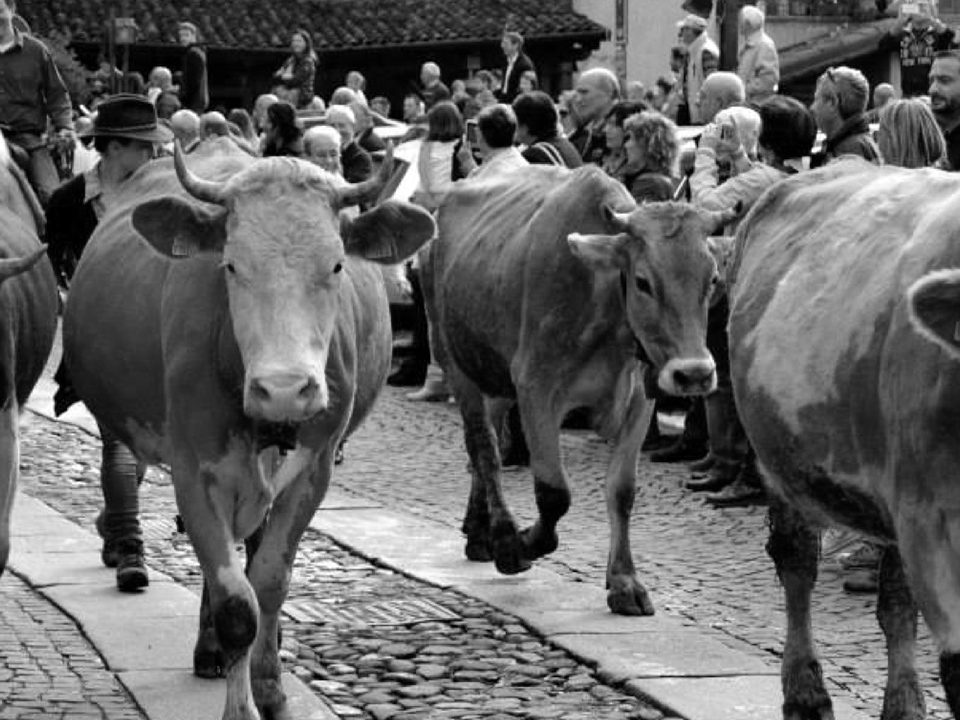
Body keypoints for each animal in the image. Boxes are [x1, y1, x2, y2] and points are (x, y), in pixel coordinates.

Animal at [67, 136, 438, 720]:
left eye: (336, 265)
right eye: (231, 266)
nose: (284, 388)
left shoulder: (314, 471)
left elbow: (268, 583)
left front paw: (270, 688)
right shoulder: (195, 471)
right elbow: (237, 604)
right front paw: (239, 705)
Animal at [428, 166, 736, 616]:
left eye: (712, 279)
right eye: (643, 282)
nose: (694, 374)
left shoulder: (640, 398)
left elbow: (622, 490)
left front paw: (624, 582)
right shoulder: (536, 387)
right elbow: (554, 493)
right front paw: (520, 546)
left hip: (494, 374)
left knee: (489, 446)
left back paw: (477, 527)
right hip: (457, 363)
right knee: (483, 447)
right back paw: (498, 534)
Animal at [728, 160, 960, 720]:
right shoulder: (932, 520)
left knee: (895, 601)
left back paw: (904, 703)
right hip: (780, 465)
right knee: (796, 564)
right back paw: (806, 694)